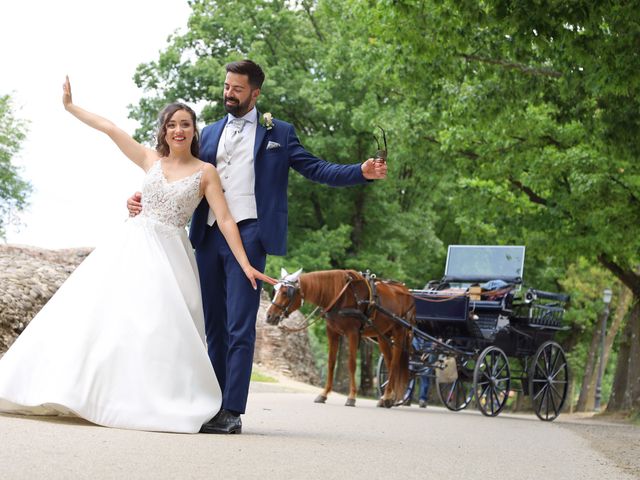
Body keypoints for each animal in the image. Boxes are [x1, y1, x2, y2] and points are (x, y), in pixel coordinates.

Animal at [264, 268, 416, 406]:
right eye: (274, 291)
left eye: (285, 293)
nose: (269, 316)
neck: (340, 295)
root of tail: (406, 291)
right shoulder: (332, 332)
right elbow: (331, 363)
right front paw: (324, 394)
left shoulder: (353, 333)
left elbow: (351, 364)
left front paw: (352, 396)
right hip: (382, 335)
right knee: (389, 364)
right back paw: (388, 397)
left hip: (399, 332)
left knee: (395, 363)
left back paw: (388, 396)